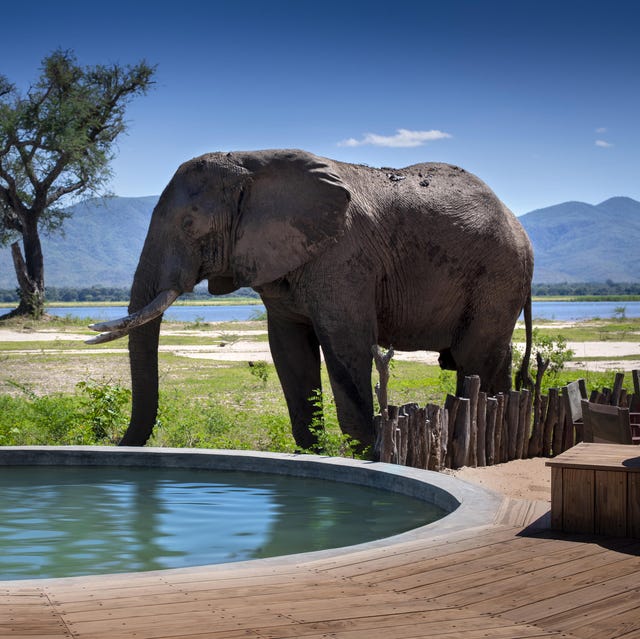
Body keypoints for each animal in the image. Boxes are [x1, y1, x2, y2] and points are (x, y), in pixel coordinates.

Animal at [87, 150, 532, 452]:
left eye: (189, 224)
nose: (118, 445)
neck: (252, 164)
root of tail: (518, 225)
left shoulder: (343, 258)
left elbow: (345, 345)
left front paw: (368, 457)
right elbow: (289, 352)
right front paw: (315, 453)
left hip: (498, 274)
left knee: (473, 358)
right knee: (492, 359)